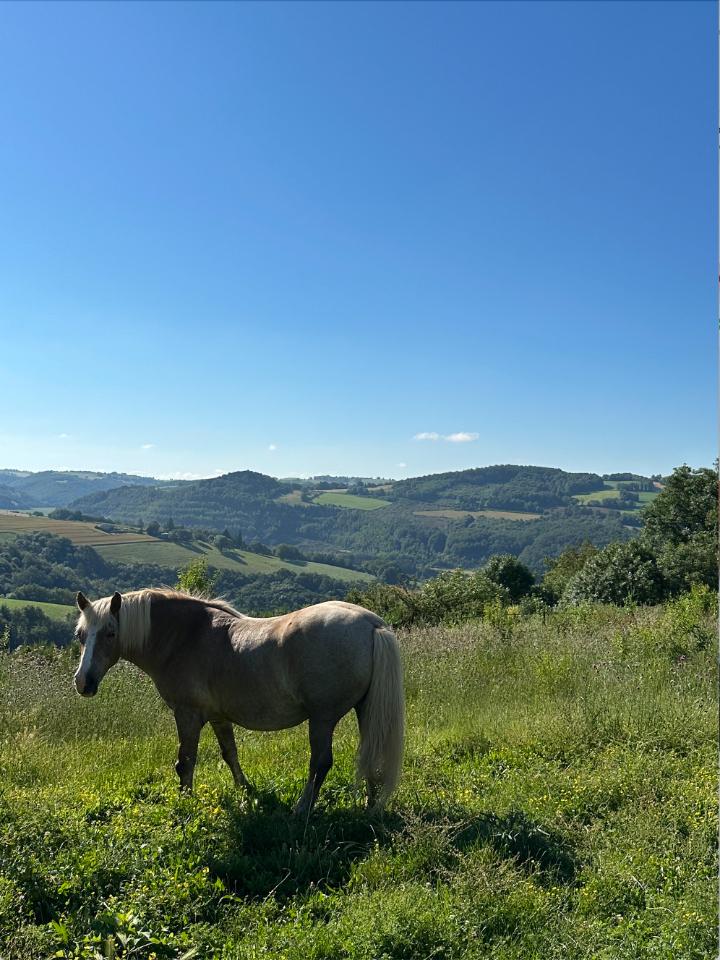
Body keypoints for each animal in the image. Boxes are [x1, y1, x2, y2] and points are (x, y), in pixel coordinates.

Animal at [72, 584, 404, 816]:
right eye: (80, 635)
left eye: (111, 633)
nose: (83, 682)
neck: (184, 637)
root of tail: (371, 624)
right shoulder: (219, 717)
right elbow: (230, 754)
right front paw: (247, 792)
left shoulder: (187, 715)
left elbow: (185, 762)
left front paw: (185, 803)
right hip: (365, 709)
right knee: (371, 751)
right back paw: (369, 804)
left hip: (322, 719)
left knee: (320, 762)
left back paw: (303, 808)